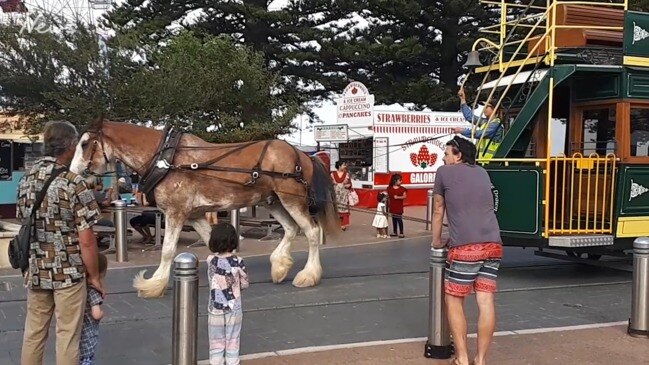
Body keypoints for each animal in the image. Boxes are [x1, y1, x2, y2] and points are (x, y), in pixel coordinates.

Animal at [70, 118, 340, 298]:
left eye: (84, 143)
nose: (71, 172)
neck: (166, 160)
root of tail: (303, 155)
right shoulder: (196, 215)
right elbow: (213, 243)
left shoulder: (176, 212)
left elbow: (167, 251)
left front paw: (154, 284)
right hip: (273, 201)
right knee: (291, 229)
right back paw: (280, 266)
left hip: (292, 200)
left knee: (312, 232)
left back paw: (308, 275)